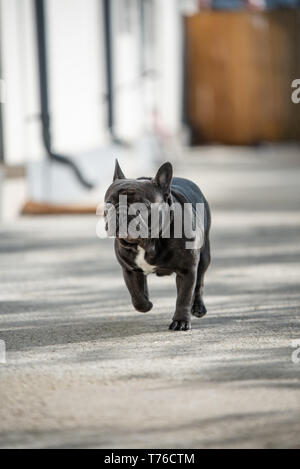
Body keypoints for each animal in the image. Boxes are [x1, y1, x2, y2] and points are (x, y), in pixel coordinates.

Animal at [105, 160, 211, 330]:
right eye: (109, 203)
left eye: (142, 206)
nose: (122, 212)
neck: (147, 242)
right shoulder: (130, 269)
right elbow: (136, 295)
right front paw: (146, 303)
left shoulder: (187, 271)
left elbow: (184, 297)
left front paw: (180, 321)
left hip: (204, 257)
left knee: (199, 284)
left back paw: (198, 308)